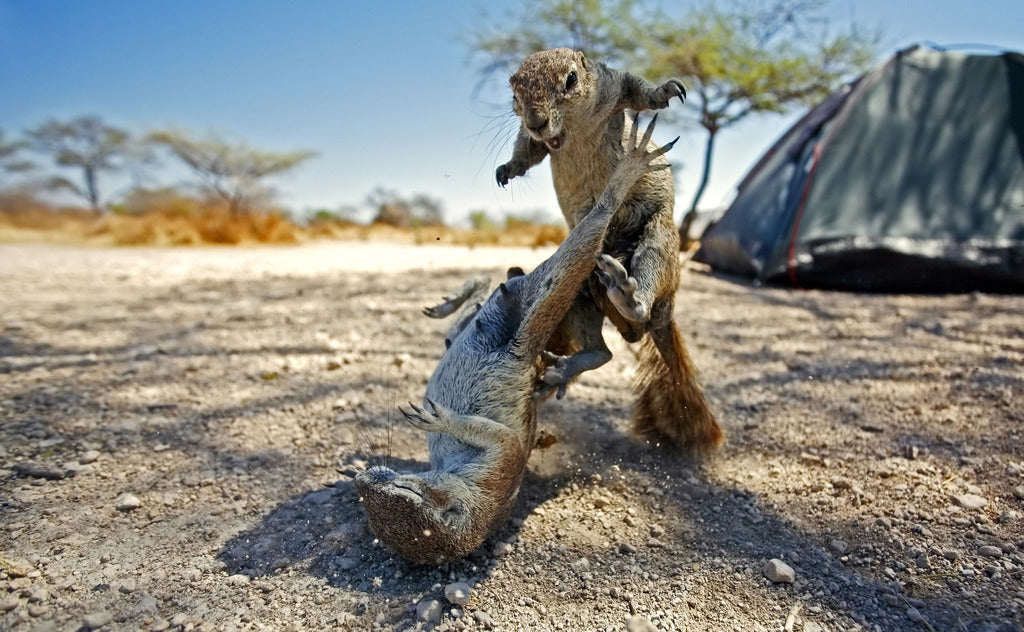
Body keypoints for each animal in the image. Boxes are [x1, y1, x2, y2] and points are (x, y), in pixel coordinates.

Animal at [356, 116, 676, 565]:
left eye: (403, 490)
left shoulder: (500, 468)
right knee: (485, 302)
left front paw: (443, 420)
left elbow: (504, 440)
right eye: (370, 497)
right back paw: (464, 298)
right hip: (517, 310)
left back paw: (622, 181)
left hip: (542, 297)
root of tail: (524, 346)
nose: (363, 480)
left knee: (583, 240)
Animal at [495, 48, 723, 454]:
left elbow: (639, 92)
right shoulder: (535, 138)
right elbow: (528, 150)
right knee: (603, 351)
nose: (537, 120)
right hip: (579, 291)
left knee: (644, 281)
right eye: (514, 92)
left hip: (658, 242)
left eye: (570, 79)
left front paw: (666, 91)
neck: (571, 128)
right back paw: (567, 366)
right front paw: (506, 169)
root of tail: (658, 319)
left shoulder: (613, 85)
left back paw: (629, 294)